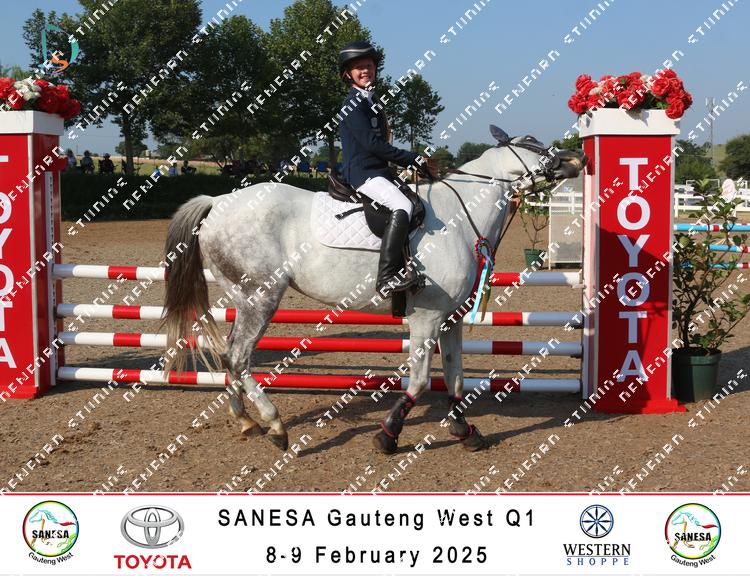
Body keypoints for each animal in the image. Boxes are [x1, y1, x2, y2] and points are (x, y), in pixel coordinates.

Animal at [161, 125, 586, 453]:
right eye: (530, 142)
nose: (578, 156)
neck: (460, 216)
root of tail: (218, 201)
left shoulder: (450, 320)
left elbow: (455, 378)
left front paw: (465, 430)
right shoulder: (427, 318)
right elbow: (419, 381)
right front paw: (389, 435)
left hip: (244, 296)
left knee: (229, 353)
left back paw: (246, 421)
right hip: (261, 297)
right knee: (238, 357)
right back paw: (275, 426)